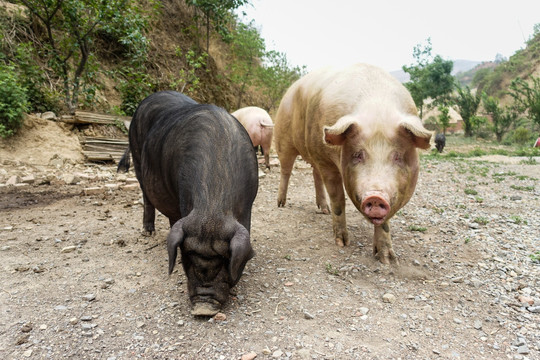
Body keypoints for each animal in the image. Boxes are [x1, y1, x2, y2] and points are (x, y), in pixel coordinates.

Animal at [118, 91, 258, 316]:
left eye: (226, 262)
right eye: (186, 259)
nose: (203, 309)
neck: (211, 209)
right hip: (138, 157)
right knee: (146, 196)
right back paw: (148, 232)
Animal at [272, 63, 432, 262]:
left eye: (398, 156)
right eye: (358, 154)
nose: (376, 196)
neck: (377, 107)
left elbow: (384, 222)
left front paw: (388, 260)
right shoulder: (327, 161)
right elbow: (338, 199)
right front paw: (342, 243)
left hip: (313, 155)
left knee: (315, 175)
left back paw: (323, 210)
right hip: (283, 138)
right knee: (286, 170)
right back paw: (281, 204)